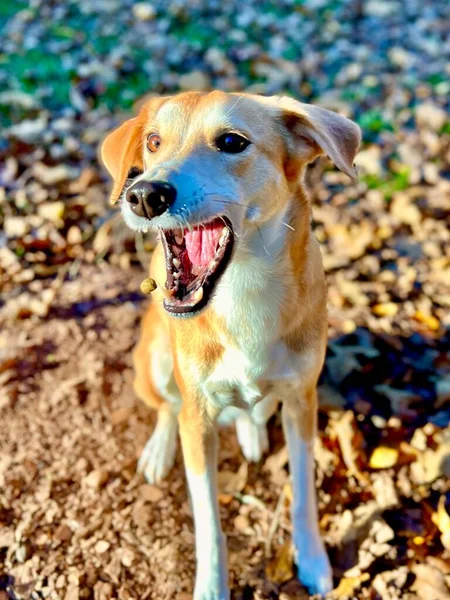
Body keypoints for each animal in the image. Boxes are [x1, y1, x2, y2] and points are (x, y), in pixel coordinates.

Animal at [100, 91, 360, 596]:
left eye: (232, 142)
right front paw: (212, 585)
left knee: (252, 407)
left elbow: (303, 495)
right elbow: (209, 524)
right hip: (156, 361)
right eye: (154, 141)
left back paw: (252, 426)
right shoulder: (198, 419)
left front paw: (312, 560)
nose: (144, 195)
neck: (243, 290)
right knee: (167, 409)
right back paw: (160, 448)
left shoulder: (302, 401)